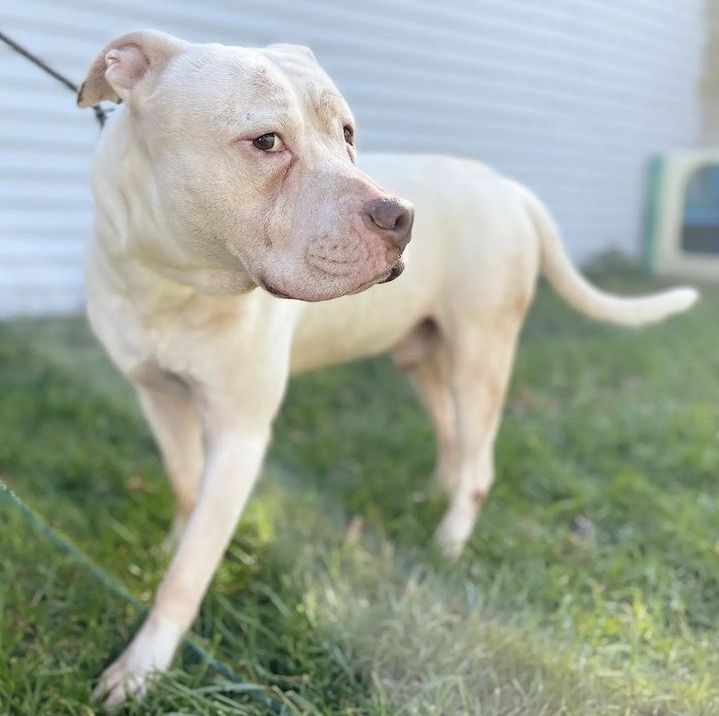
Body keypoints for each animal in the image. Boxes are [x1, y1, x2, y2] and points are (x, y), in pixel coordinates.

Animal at [77, 32, 696, 704]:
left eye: (348, 132)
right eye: (266, 142)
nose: (401, 217)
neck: (172, 281)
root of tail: (506, 186)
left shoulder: (240, 434)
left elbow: (188, 574)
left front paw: (143, 666)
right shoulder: (159, 397)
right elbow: (187, 490)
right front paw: (172, 541)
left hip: (480, 356)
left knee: (479, 463)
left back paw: (450, 539)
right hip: (422, 358)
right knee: (451, 436)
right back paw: (435, 492)